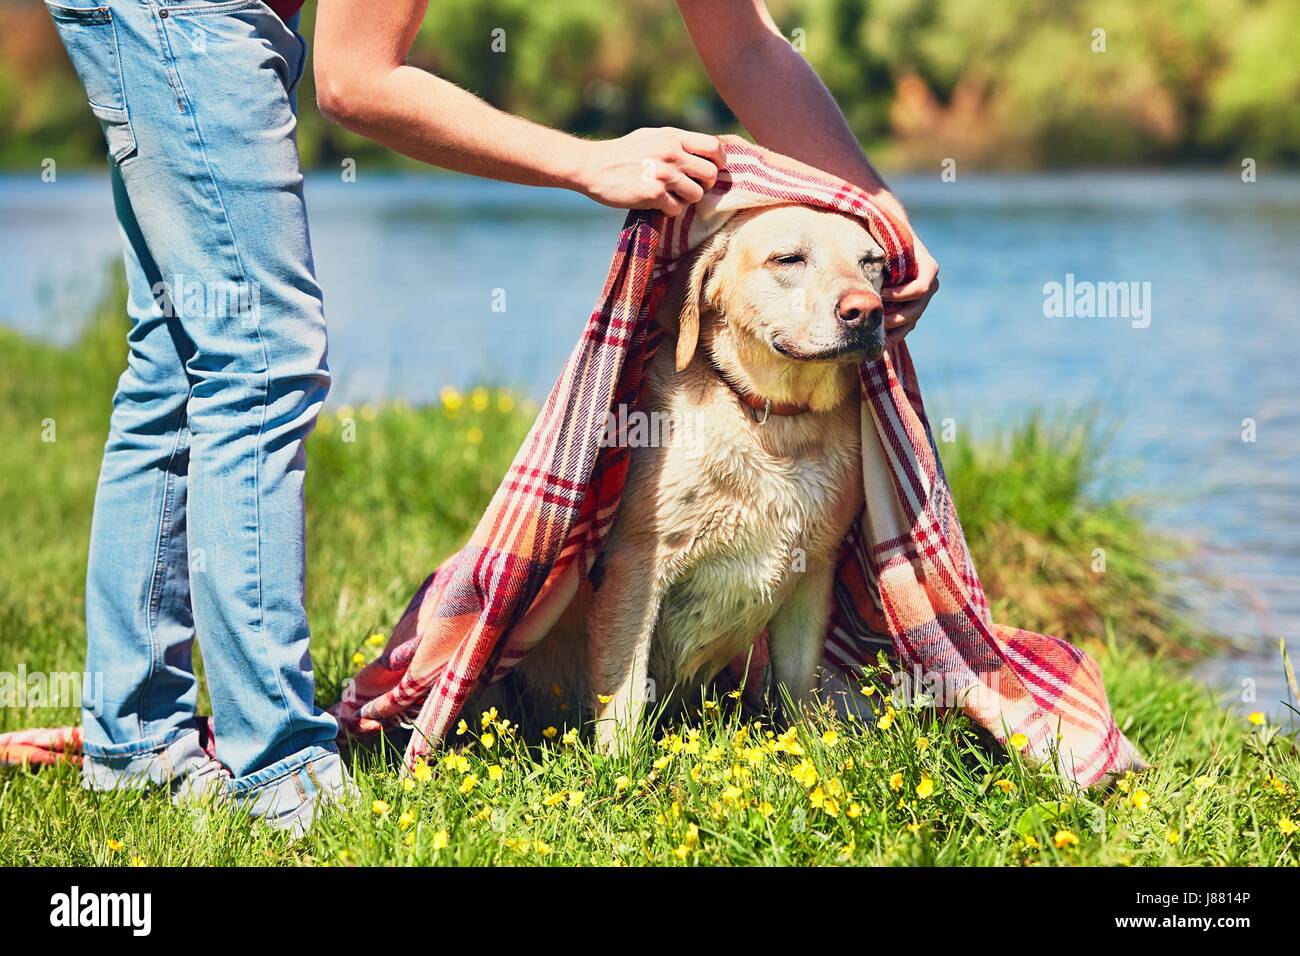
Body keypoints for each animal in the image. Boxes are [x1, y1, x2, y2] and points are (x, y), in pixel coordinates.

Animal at [501, 205, 889, 749]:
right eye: (789, 258)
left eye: (873, 263)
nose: (867, 310)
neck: (772, 424)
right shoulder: (637, 567)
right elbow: (623, 692)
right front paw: (619, 765)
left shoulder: (813, 569)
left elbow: (797, 685)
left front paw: (812, 749)